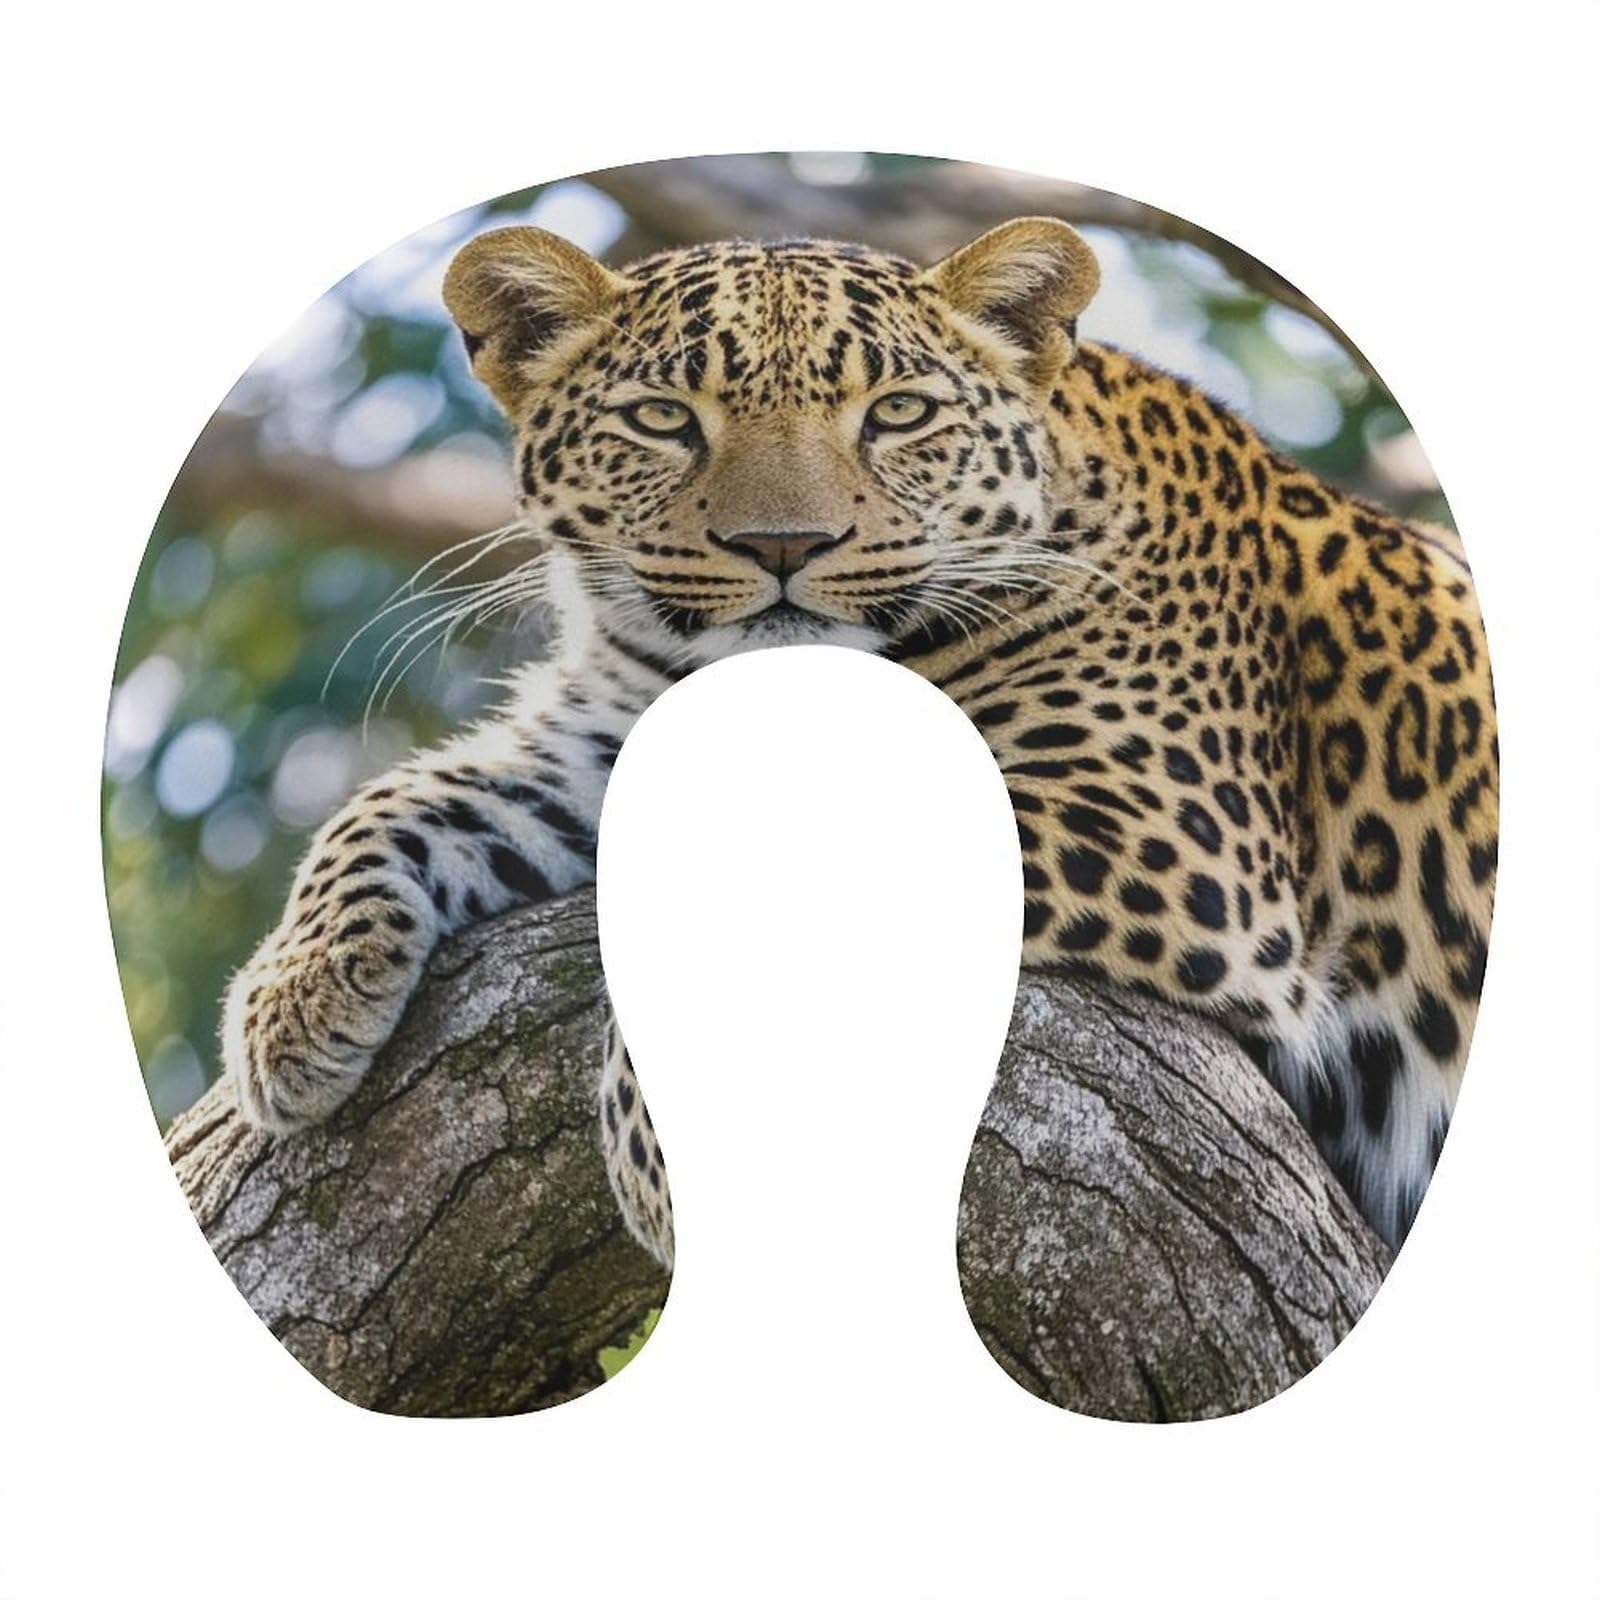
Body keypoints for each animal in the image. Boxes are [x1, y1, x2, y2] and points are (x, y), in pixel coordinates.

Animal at [221, 215, 1497, 1265]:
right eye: (664, 420)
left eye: (897, 414)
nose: (784, 546)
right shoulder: (606, 750)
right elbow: (389, 803)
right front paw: (290, 1002)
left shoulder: (1163, 824)